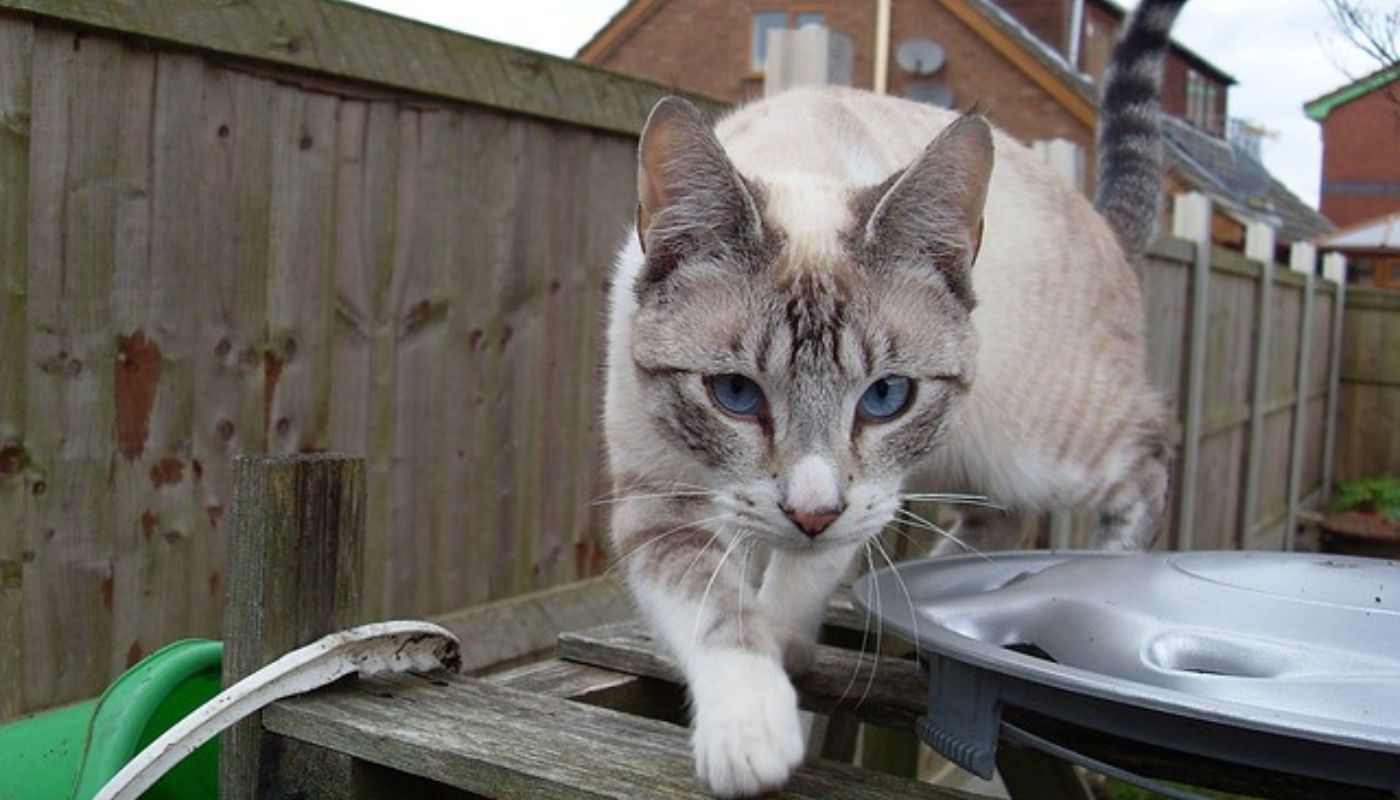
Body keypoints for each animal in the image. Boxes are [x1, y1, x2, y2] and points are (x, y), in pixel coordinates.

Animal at [602, 0, 1181, 795]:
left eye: (885, 398)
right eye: (735, 394)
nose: (810, 512)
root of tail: (1101, 218)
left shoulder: (863, 501)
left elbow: (791, 589)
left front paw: (786, 664)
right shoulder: (659, 501)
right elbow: (717, 612)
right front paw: (752, 731)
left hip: (1044, 450)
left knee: (1147, 457)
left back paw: (1106, 567)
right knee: (1002, 519)